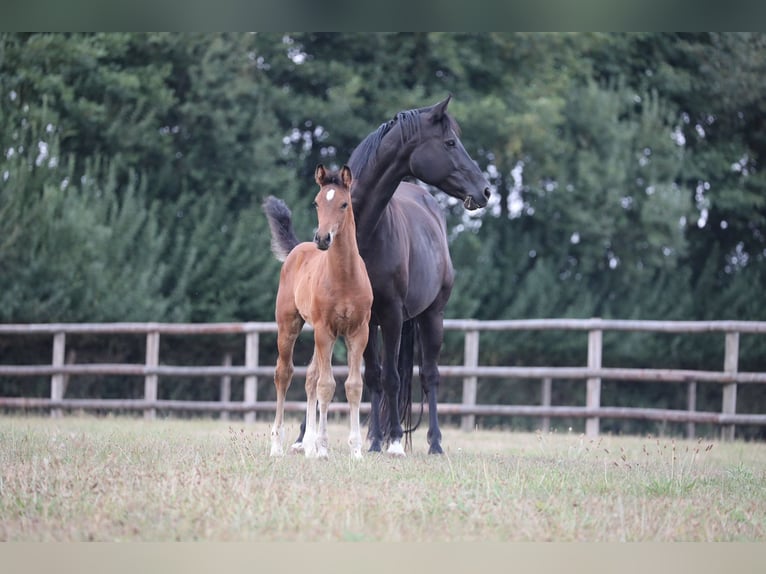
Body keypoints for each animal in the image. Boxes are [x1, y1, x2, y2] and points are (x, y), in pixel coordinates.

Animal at [284, 97, 488, 456]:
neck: (366, 234)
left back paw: (434, 442)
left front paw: (393, 440)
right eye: (450, 143)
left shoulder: (391, 313)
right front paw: (375, 440)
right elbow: (372, 377)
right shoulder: (364, 320)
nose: (485, 190)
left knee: (429, 376)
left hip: (432, 317)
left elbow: (393, 377)